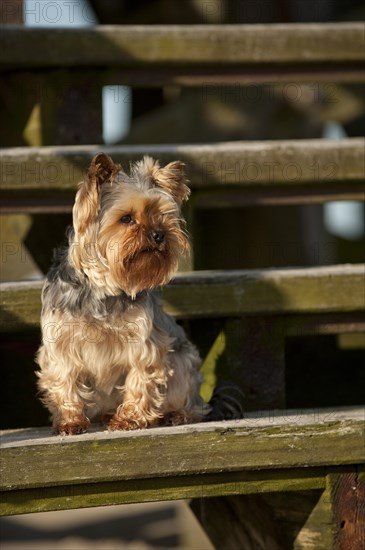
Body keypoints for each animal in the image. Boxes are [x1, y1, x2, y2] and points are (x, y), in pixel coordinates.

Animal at [36, 154, 212, 436]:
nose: (160, 234)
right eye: (127, 218)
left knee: (191, 400)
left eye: (162, 216)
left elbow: (140, 376)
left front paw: (130, 419)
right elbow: (64, 378)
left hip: (183, 360)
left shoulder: (142, 340)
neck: (103, 288)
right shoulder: (60, 340)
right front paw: (70, 421)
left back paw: (177, 414)